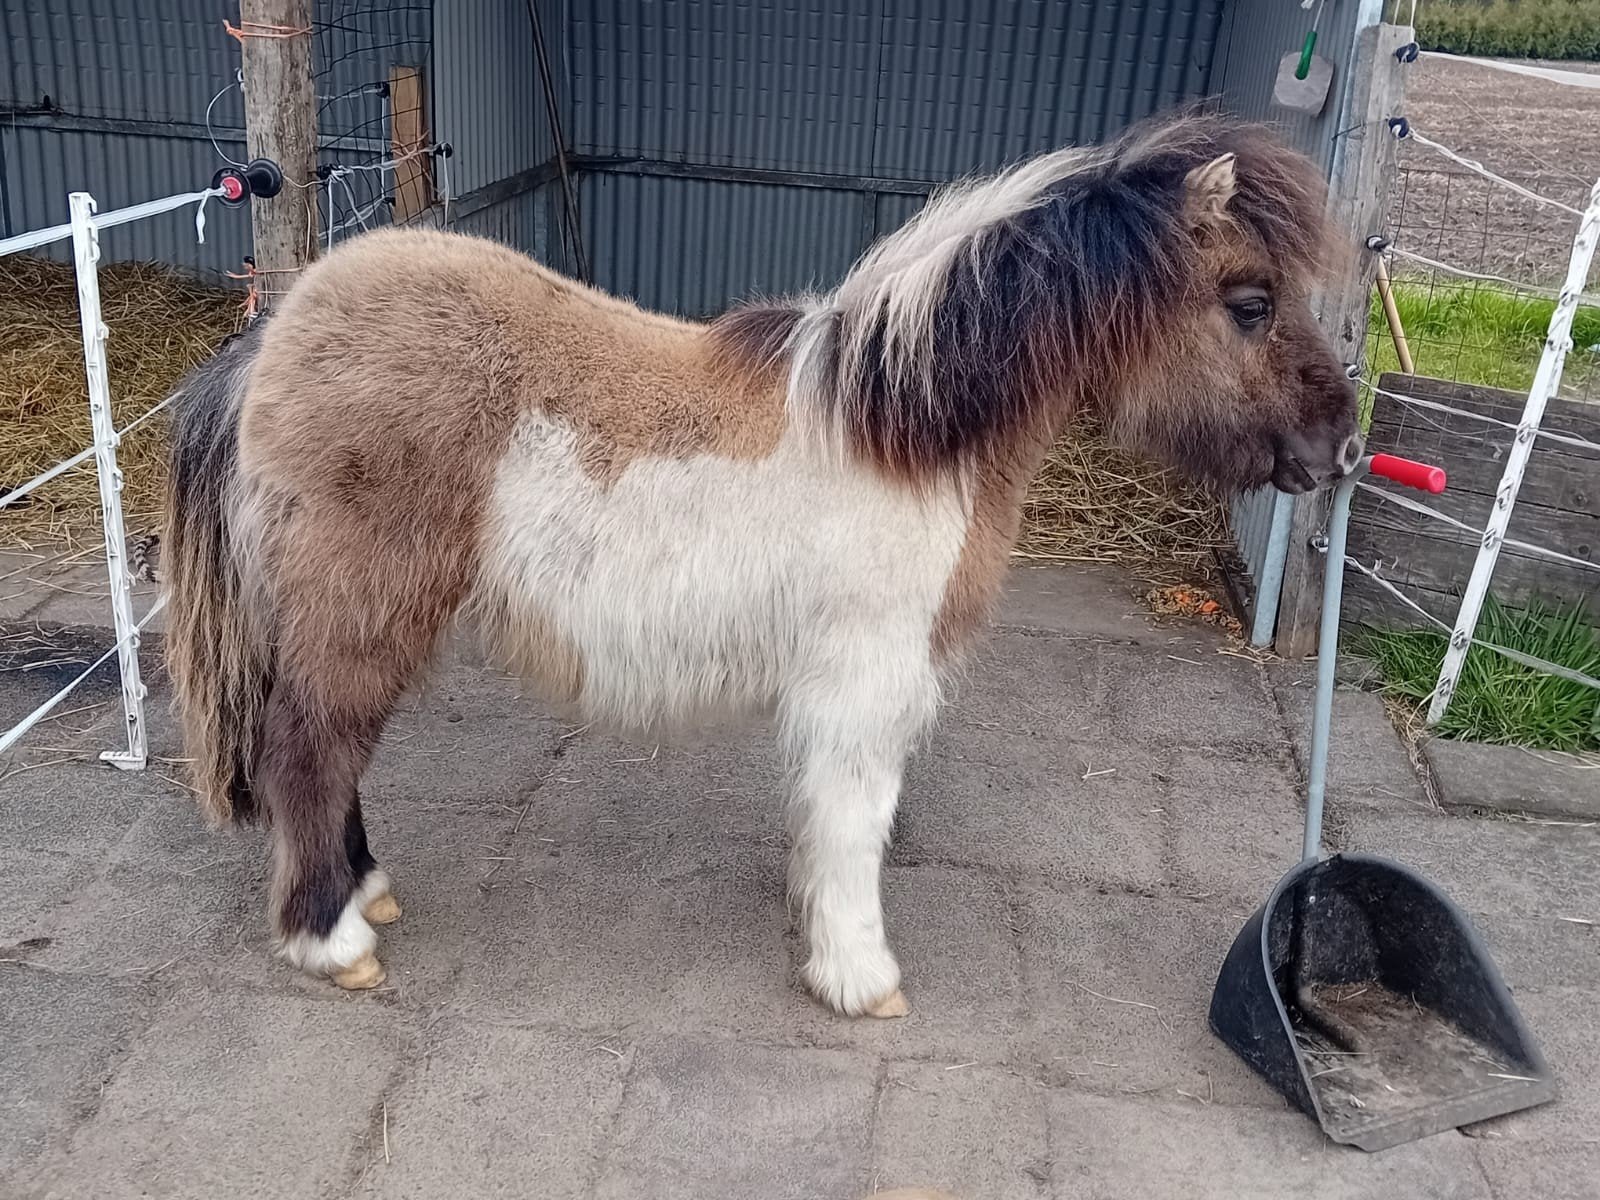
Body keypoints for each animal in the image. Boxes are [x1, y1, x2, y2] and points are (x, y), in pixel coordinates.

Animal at [164, 111, 1361, 1017]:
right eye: (1249, 304)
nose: (1338, 446)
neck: (901, 429)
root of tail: (274, 336)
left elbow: (823, 817)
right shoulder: (868, 679)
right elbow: (856, 816)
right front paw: (859, 976)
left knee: (329, 755)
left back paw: (365, 892)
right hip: (360, 613)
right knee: (309, 751)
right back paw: (331, 942)